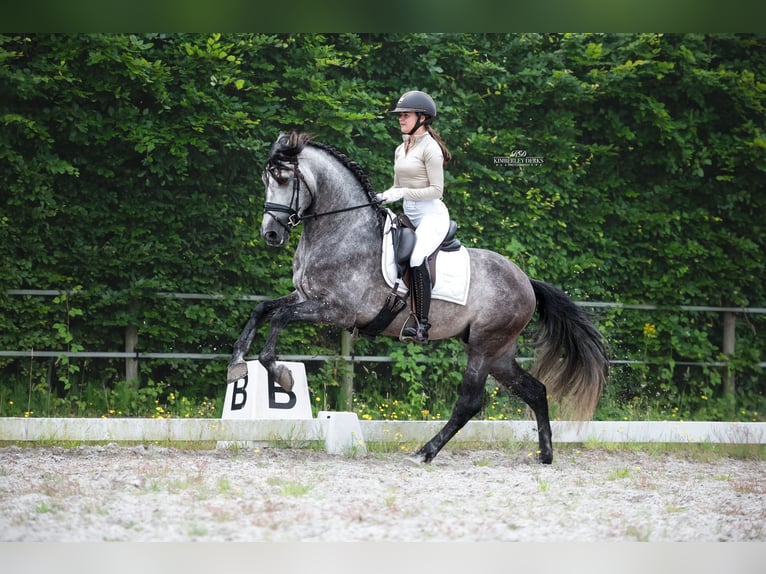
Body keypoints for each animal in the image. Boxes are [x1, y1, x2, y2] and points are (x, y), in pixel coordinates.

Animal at [228, 133, 612, 466]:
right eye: (266, 179)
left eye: (283, 178)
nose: (271, 234)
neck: (341, 230)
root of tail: (526, 280)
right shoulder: (304, 296)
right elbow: (263, 309)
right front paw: (237, 365)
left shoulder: (337, 311)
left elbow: (280, 319)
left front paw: (281, 375)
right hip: (497, 352)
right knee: (534, 390)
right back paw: (545, 454)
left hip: (485, 346)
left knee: (470, 402)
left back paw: (424, 452)